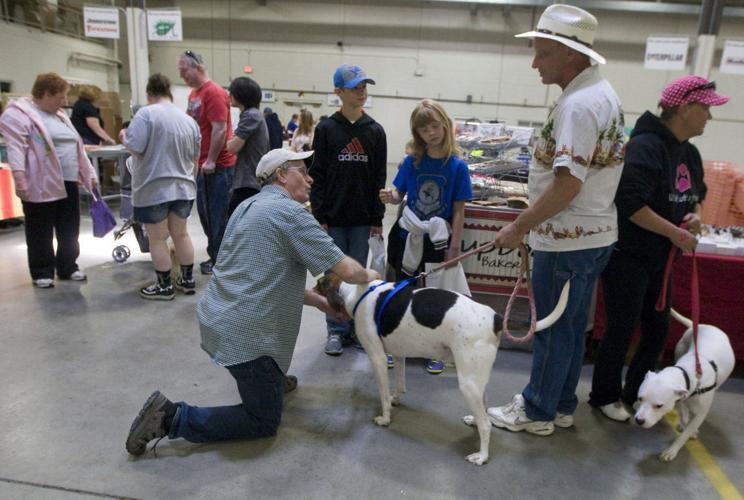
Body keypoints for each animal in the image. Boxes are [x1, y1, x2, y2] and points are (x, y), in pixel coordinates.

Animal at [316, 274, 568, 464]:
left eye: (319, 283)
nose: (310, 288)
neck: (358, 292)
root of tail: (495, 317)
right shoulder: (398, 354)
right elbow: (400, 384)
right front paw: (396, 398)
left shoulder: (377, 358)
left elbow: (383, 396)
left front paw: (385, 418)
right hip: (475, 377)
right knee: (483, 407)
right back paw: (474, 421)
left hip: (467, 383)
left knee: (487, 426)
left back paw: (482, 456)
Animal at [632, 308, 736, 460]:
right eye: (640, 398)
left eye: (659, 406)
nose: (639, 420)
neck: (690, 374)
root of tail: (699, 325)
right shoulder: (682, 396)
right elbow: (684, 412)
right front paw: (684, 422)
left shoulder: (701, 413)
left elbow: (685, 434)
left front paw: (672, 450)